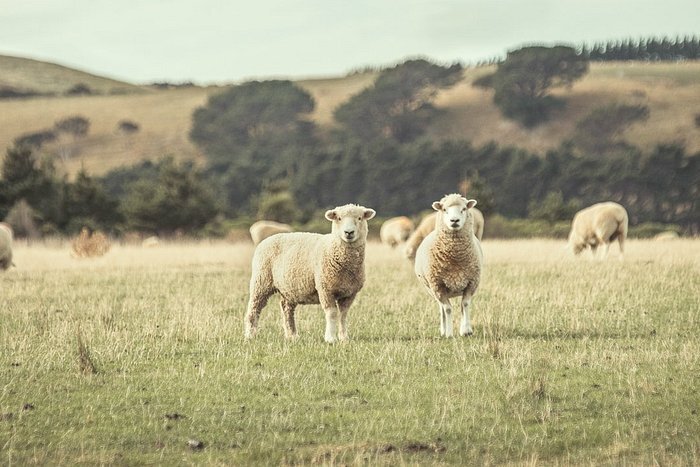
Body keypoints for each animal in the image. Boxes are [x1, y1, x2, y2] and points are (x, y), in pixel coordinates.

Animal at [244, 204, 376, 343]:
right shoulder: (325, 289)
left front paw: (344, 337)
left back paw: (292, 335)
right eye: (339, 218)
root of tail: (266, 240)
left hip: (288, 288)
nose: (349, 232)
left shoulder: (349, 293)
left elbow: (343, 315)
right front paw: (330, 338)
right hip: (261, 281)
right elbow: (332, 313)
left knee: (286, 309)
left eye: (360, 218)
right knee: (254, 309)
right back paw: (250, 335)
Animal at [414, 194, 483, 337]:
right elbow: (448, 309)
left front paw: (466, 330)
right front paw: (449, 334)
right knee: (442, 309)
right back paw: (443, 330)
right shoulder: (438, 286)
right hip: (433, 290)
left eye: (463, 209)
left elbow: (465, 304)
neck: (455, 258)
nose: (454, 220)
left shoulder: (471, 282)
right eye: (444, 209)